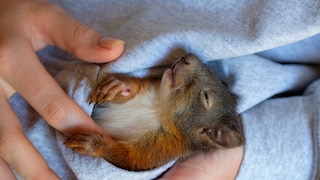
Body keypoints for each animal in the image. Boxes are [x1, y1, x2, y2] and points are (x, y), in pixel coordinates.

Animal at [65, 53, 245, 172]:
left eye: (206, 98)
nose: (187, 57)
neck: (159, 108)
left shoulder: (160, 149)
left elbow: (129, 160)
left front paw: (93, 144)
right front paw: (121, 84)